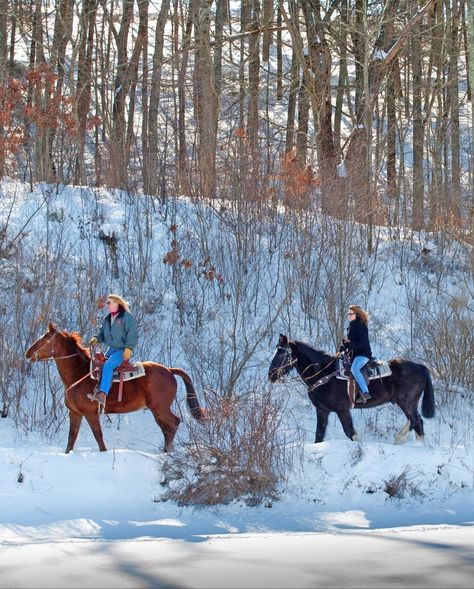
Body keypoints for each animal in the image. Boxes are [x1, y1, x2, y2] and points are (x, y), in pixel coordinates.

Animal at [24, 324, 206, 452]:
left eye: (44, 339)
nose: (27, 353)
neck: (78, 374)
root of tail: (169, 370)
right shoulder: (75, 413)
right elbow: (71, 440)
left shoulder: (90, 413)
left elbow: (98, 437)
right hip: (157, 410)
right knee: (166, 428)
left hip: (160, 408)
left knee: (174, 423)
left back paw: (167, 450)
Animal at [268, 334, 436, 444]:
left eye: (282, 354)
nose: (271, 375)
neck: (324, 374)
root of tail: (421, 367)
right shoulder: (322, 410)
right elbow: (319, 435)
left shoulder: (342, 410)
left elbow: (350, 432)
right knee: (418, 424)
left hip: (406, 402)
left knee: (415, 420)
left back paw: (399, 439)